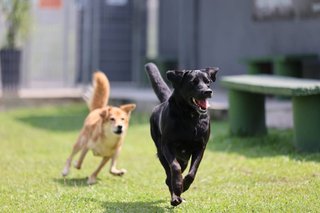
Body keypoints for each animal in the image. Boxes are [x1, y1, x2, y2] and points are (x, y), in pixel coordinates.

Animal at [144, 62, 218, 206]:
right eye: (193, 82)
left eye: (208, 82)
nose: (207, 92)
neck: (190, 116)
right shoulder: (167, 146)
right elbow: (175, 168)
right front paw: (178, 186)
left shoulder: (200, 148)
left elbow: (192, 172)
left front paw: (184, 185)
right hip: (161, 153)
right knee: (169, 176)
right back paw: (175, 197)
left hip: (184, 158)